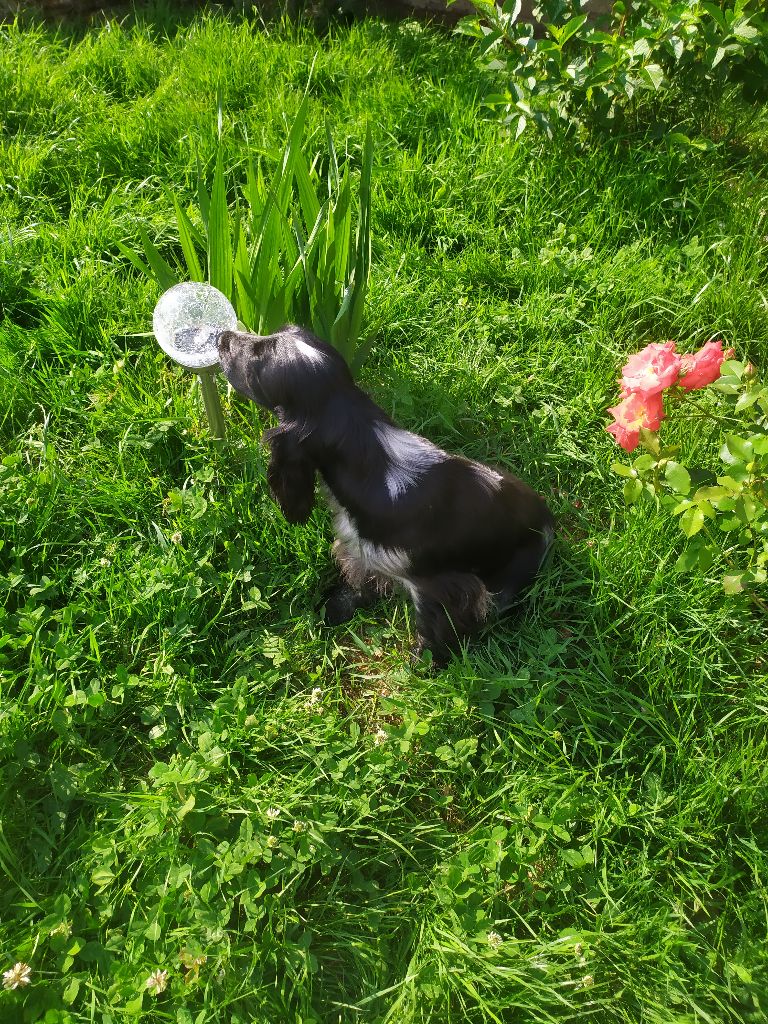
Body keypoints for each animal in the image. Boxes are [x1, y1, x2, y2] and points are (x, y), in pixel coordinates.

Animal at [217, 327, 552, 663]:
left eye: (257, 359)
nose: (221, 336)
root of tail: (547, 517)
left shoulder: (441, 588)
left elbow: (433, 633)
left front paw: (424, 665)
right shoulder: (359, 548)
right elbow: (357, 580)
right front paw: (336, 609)